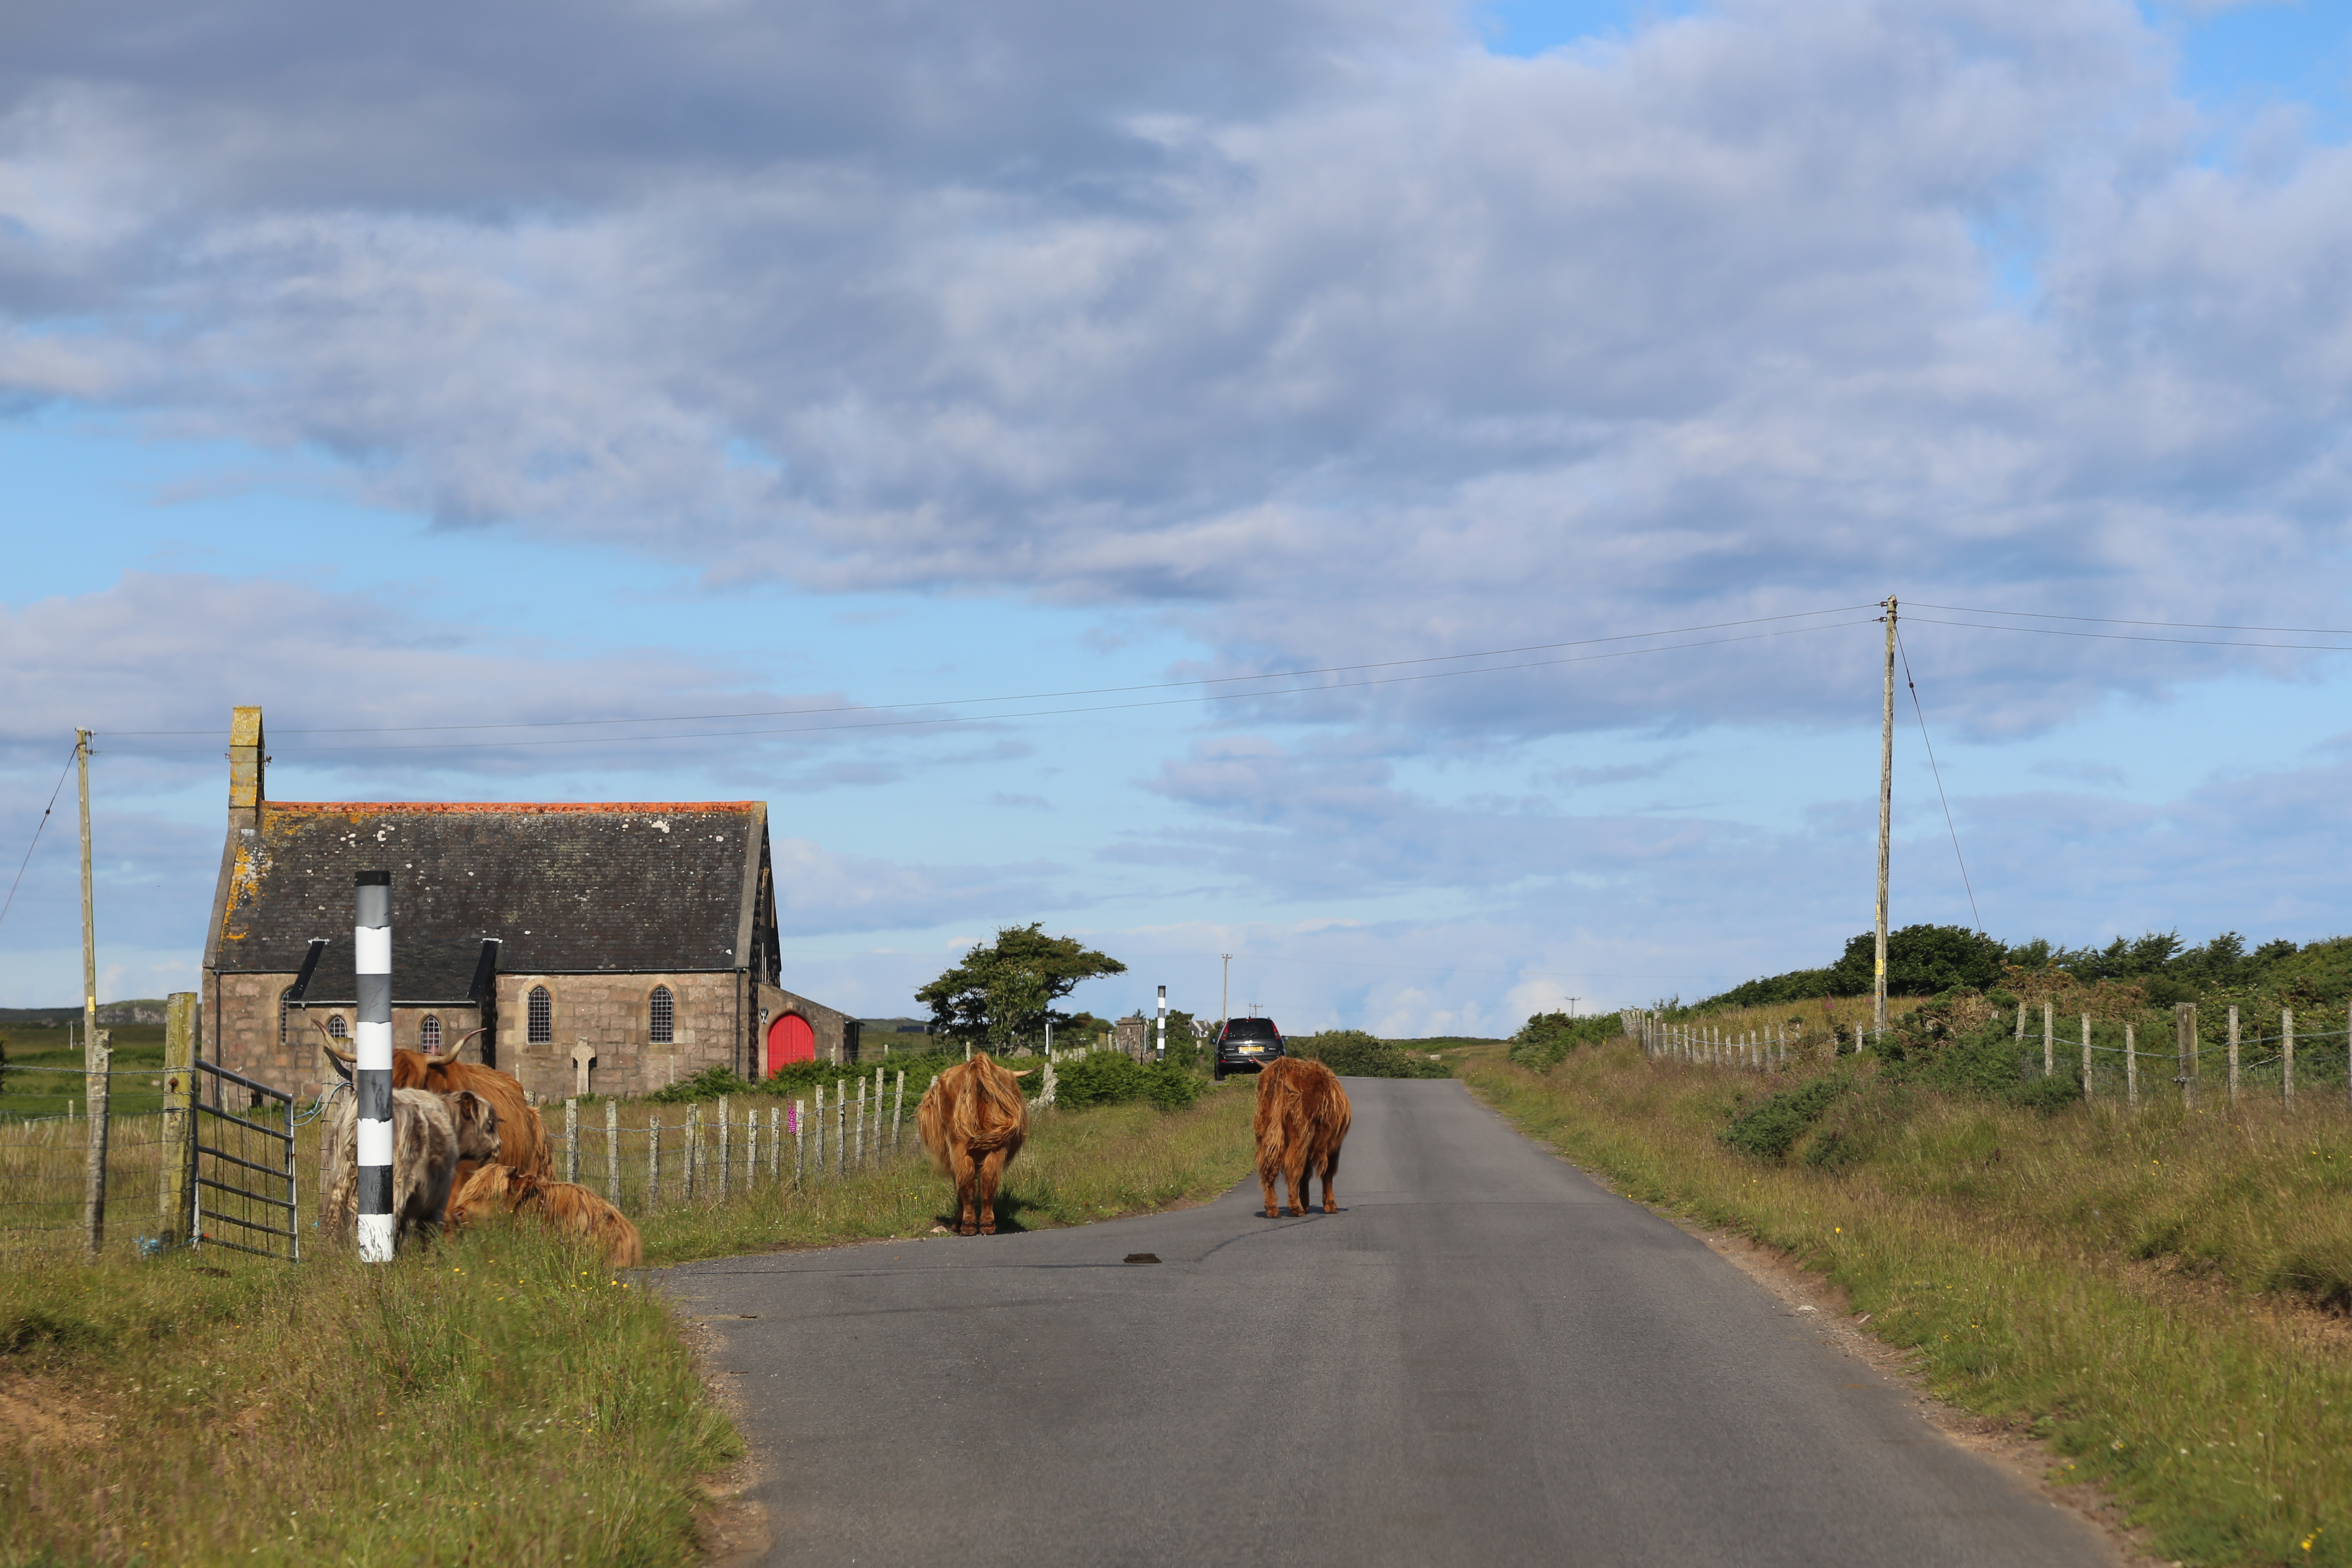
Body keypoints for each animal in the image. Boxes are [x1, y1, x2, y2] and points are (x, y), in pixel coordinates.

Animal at [913, 1053, 1035, 1241]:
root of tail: (978, 1065)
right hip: (997, 1146)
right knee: (989, 1181)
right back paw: (987, 1226)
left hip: (959, 1144)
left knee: (966, 1182)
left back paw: (966, 1226)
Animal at [1251, 1063, 1364, 1222]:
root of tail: (1282, 1067)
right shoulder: (1333, 1146)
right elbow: (1327, 1173)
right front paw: (1331, 1206)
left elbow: (1306, 1173)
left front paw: (1306, 1203)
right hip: (1301, 1133)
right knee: (1292, 1165)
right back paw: (1296, 1209)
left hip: (1264, 1130)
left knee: (1268, 1165)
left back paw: (1273, 1210)